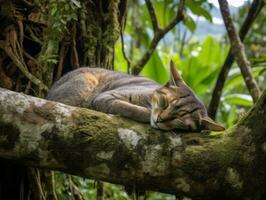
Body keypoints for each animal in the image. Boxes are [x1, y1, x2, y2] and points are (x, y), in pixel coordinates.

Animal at [46, 61, 224, 132]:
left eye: (180, 121)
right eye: (164, 102)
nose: (160, 119)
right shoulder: (106, 97)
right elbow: (132, 109)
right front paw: (148, 114)